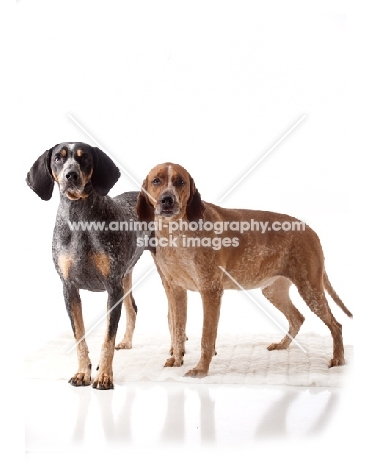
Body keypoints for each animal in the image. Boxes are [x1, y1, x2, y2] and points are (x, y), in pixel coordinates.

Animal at [26, 142, 147, 388]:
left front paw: (104, 376)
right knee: (132, 308)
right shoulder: (69, 289)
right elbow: (79, 337)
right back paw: (127, 341)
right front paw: (83, 372)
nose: (70, 175)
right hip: (126, 277)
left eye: (85, 159)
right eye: (58, 158)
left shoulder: (112, 288)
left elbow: (107, 340)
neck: (79, 219)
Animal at [136, 161, 354, 376]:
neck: (175, 232)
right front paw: (177, 358)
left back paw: (338, 358)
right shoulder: (175, 291)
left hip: (310, 289)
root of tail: (310, 230)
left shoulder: (210, 291)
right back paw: (283, 345)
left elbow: (207, 336)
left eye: (180, 182)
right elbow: (177, 329)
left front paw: (201, 368)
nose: (167, 199)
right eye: (156, 181)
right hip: (273, 291)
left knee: (336, 325)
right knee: (297, 318)